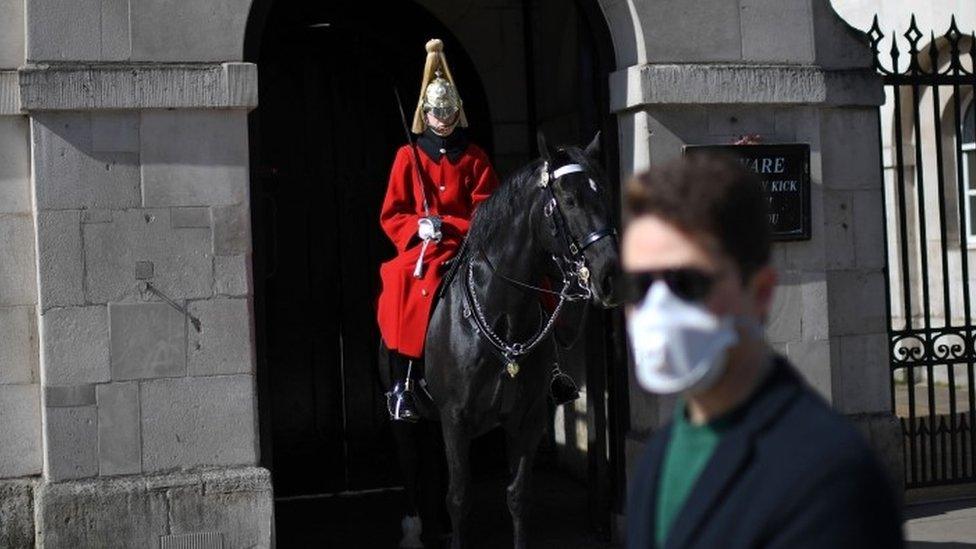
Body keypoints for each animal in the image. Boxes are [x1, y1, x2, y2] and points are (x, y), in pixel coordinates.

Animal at [416, 134, 620, 548]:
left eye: (605, 194)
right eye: (569, 200)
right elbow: (458, 497)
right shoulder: (454, 419)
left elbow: (518, 496)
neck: (504, 318)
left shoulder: (528, 418)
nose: (609, 275)